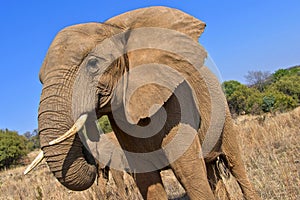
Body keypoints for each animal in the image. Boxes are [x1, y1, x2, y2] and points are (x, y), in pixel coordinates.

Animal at [27, 6, 258, 200]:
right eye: (40, 79)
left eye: (93, 64)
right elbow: (148, 181)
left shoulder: (177, 101)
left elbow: (189, 173)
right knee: (212, 170)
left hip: (223, 113)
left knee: (235, 164)